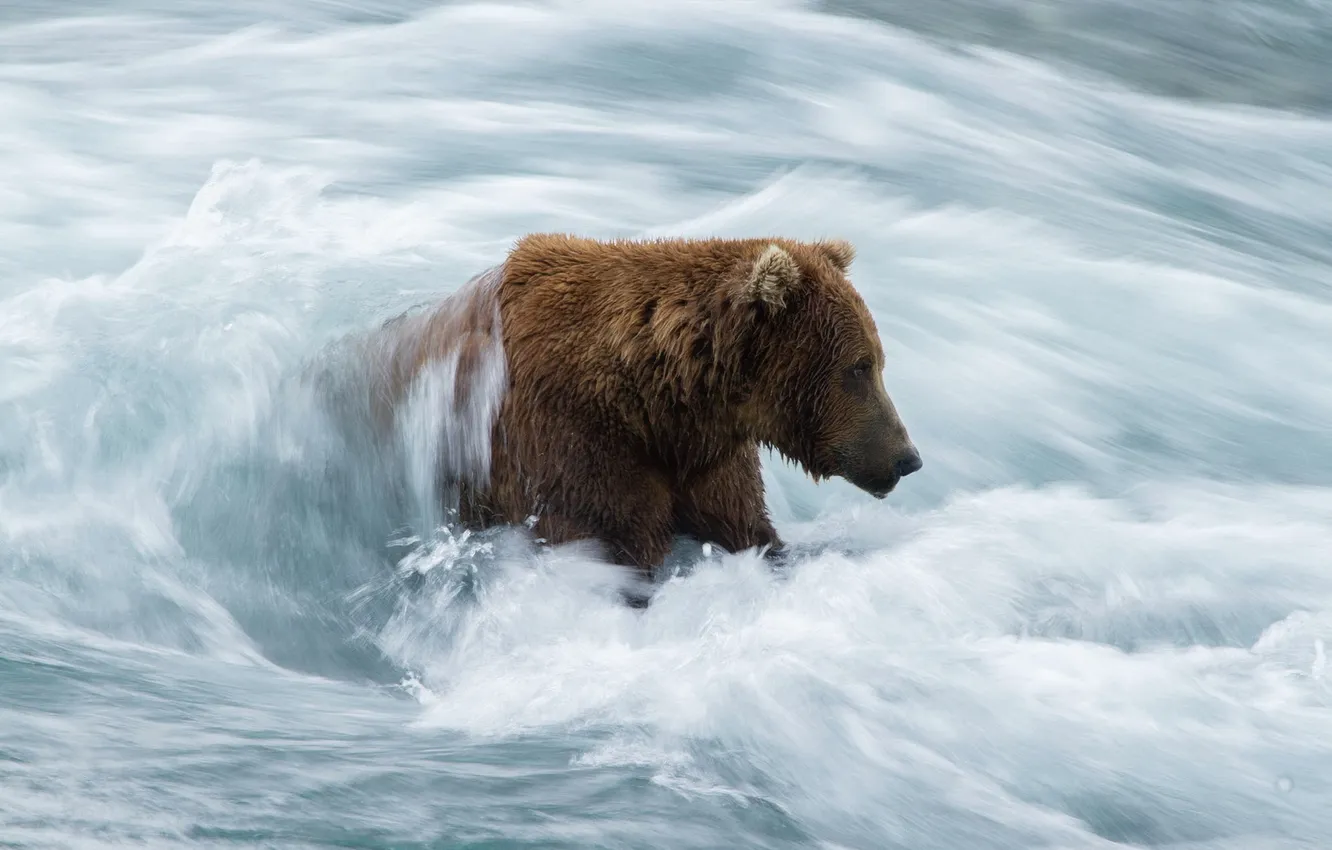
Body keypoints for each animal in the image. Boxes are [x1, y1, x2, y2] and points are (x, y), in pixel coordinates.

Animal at [358, 234, 922, 600]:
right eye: (859, 367)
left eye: (876, 361)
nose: (908, 458)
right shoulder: (572, 443)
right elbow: (613, 543)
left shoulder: (706, 464)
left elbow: (749, 531)